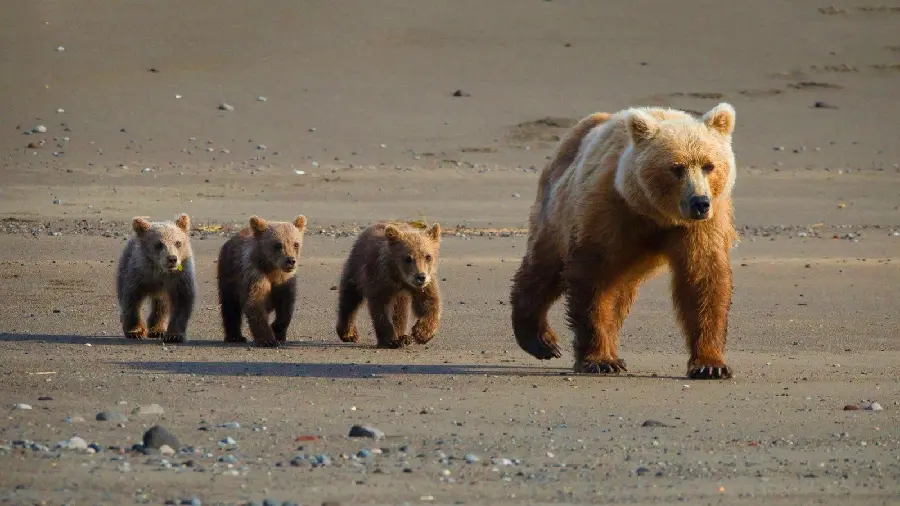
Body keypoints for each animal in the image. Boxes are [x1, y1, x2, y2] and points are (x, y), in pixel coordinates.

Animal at [115, 213, 196, 344]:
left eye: (178, 243)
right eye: (159, 244)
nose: (172, 258)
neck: (160, 271)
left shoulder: (179, 278)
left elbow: (182, 302)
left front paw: (174, 335)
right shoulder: (138, 275)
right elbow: (131, 299)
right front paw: (135, 331)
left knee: (161, 305)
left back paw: (158, 329)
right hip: (124, 266)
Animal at [216, 213, 308, 348]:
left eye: (296, 244)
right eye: (278, 245)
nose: (290, 260)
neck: (273, 270)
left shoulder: (286, 282)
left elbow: (286, 306)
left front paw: (278, 331)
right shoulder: (255, 276)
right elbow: (255, 303)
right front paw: (268, 340)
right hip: (228, 275)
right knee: (230, 307)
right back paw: (235, 336)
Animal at [510, 104, 740, 380]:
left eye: (709, 165)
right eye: (676, 167)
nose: (699, 203)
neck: (654, 213)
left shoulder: (702, 226)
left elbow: (702, 279)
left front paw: (710, 364)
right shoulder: (608, 211)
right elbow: (594, 280)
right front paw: (600, 360)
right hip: (557, 208)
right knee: (545, 268)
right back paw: (541, 340)